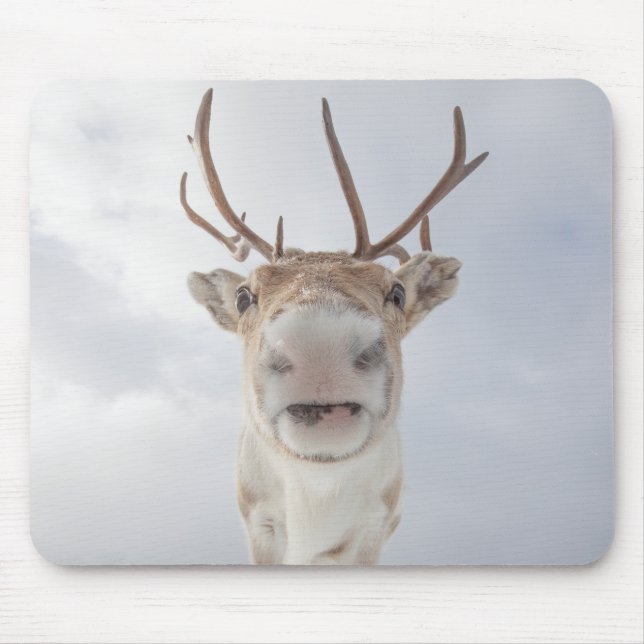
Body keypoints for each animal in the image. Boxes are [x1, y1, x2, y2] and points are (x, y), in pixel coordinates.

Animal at [180, 89, 488, 565]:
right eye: (244, 296)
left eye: (397, 292)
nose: (319, 347)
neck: (316, 504)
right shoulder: (258, 522)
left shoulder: (375, 527)